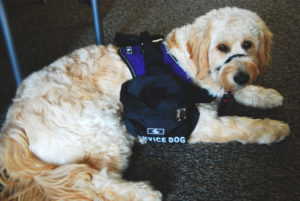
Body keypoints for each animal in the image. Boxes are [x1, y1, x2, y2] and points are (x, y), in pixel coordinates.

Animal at [0, 6, 290, 201]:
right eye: (222, 47)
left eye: (248, 44)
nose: (242, 75)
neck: (185, 61)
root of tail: (13, 123)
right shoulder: (198, 124)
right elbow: (242, 126)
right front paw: (274, 129)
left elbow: (238, 93)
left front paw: (265, 95)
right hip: (105, 130)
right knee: (92, 181)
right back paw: (142, 193)